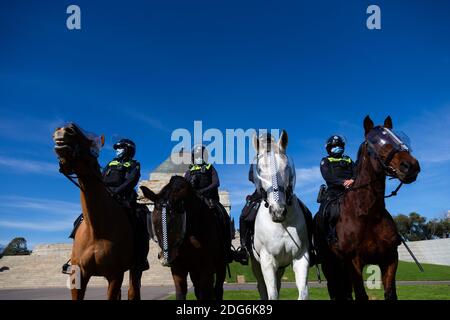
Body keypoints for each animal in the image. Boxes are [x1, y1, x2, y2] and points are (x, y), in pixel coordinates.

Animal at [52, 123, 148, 300]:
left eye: (92, 143)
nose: (65, 129)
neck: (97, 229)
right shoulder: (78, 275)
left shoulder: (116, 275)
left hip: (136, 268)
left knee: (133, 291)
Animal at [250, 130, 310, 300]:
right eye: (259, 170)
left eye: (286, 167)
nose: (278, 211)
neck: (282, 224)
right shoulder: (267, 261)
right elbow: (272, 294)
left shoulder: (300, 258)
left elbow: (303, 293)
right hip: (257, 265)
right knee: (262, 287)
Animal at [314, 115, 420, 300]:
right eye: (375, 141)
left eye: (397, 136)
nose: (410, 165)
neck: (368, 214)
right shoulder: (354, 262)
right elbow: (361, 295)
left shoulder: (390, 259)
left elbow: (390, 293)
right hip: (330, 264)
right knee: (334, 289)